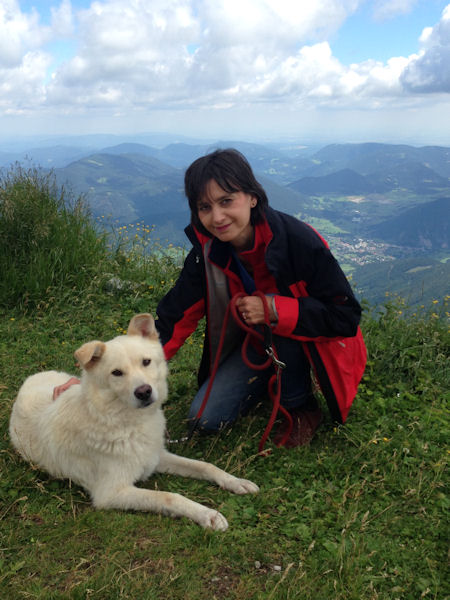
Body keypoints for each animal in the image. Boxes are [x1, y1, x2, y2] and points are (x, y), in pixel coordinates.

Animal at [9, 313, 259, 530]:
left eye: (146, 362)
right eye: (117, 373)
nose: (144, 392)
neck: (125, 422)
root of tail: (30, 379)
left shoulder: (155, 457)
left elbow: (205, 465)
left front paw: (235, 482)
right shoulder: (111, 493)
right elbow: (169, 497)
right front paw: (207, 514)